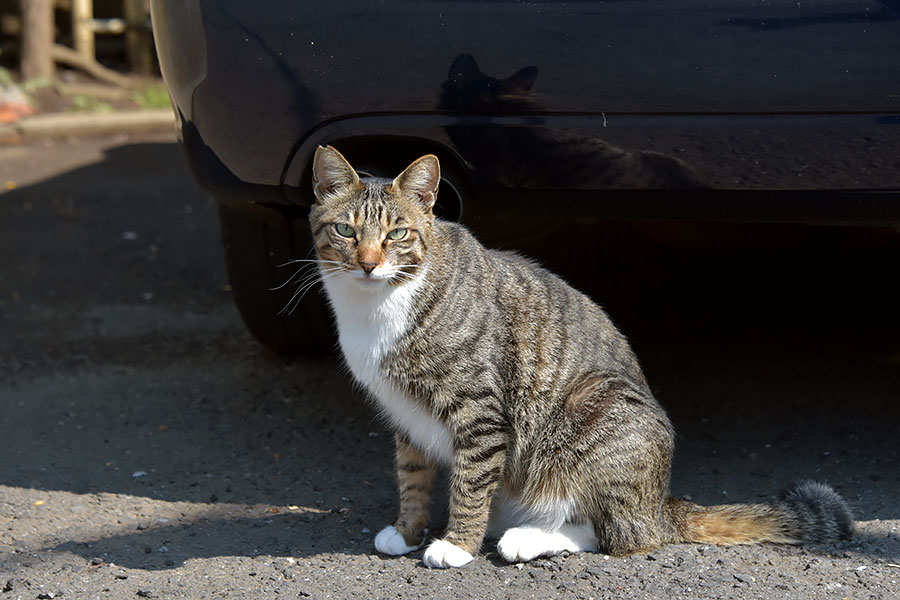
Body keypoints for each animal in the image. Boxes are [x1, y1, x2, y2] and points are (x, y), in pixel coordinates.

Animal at [308, 145, 852, 568]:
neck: (375, 307)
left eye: (397, 234)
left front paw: (456, 544)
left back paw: (528, 540)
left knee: (619, 534)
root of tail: (660, 502)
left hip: (596, 410)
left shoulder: (479, 410)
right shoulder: (406, 416)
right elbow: (413, 477)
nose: (368, 263)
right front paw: (407, 529)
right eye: (345, 231)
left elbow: (469, 482)